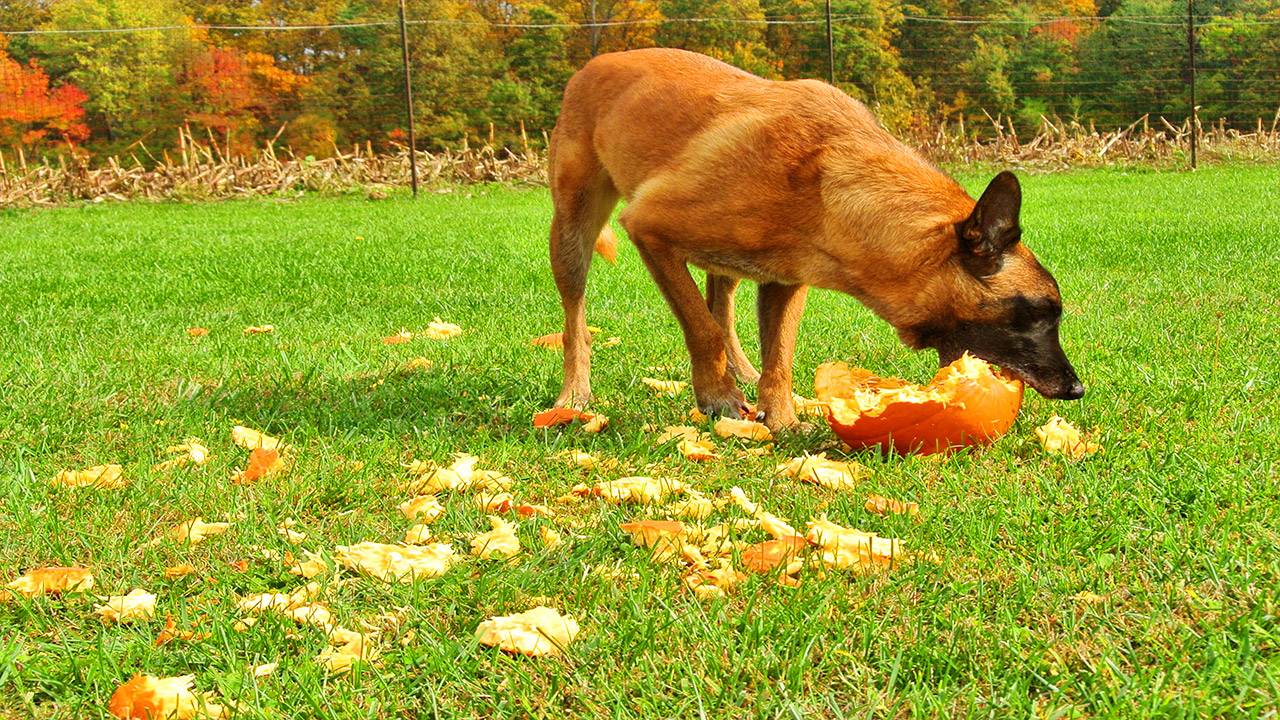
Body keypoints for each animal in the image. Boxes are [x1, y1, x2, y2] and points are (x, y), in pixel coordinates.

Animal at [545, 47, 1085, 427]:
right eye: (1040, 313)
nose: (1077, 389)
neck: (827, 181)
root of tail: (597, 62)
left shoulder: (785, 282)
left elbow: (778, 352)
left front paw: (781, 419)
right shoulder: (649, 230)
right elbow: (701, 328)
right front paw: (718, 395)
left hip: (726, 264)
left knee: (722, 302)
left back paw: (742, 370)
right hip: (571, 233)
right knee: (577, 321)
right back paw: (575, 394)